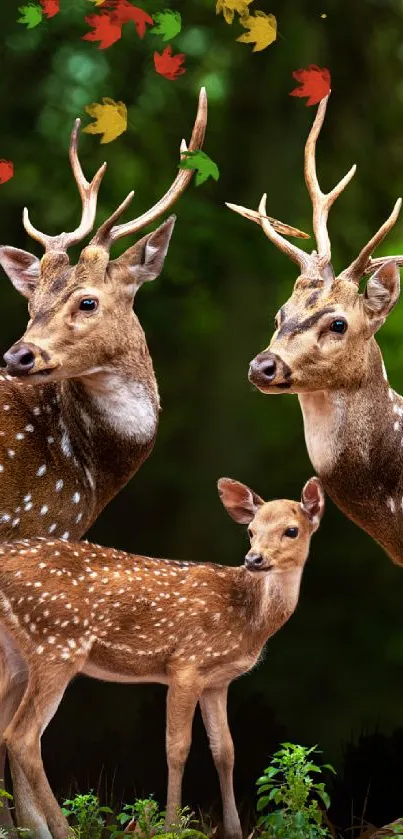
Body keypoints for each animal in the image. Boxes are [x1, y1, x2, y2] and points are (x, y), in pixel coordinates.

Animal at [0, 475, 324, 839]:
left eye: (291, 530)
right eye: (251, 531)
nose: (253, 559)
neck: (248, 617)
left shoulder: (217, 682)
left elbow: (225, 750)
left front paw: (233, 831)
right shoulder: (186, 664)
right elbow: (177, 748)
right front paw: (171, 826)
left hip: (17, 656)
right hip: (56, 645)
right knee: (22, 737)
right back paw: (62, 830)